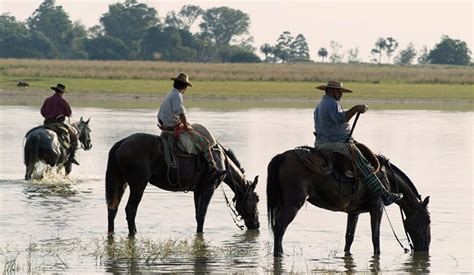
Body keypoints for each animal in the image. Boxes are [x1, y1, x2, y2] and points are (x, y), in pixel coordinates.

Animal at [104, 133, 260, 236]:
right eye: (257, 199)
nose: (257, 224)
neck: (221, 160)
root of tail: (121, 143)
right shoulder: (208, 188)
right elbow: (202, 215)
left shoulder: (198, 190)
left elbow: (198, 215)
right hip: (138, 185)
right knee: (130, 210)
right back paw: (133, 233)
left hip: (121, 183)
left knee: (112, 209)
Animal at [266, 150, 430, 258]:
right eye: (428, 220)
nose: (426, 248)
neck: (386, 178)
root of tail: (283, 156)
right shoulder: (377, 208)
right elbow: (375, 239)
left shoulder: (354, 212)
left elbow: (349, 237)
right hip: (294, 203)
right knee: (280, 227)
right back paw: (279, 255)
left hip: (282, 203)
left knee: (276, 227)